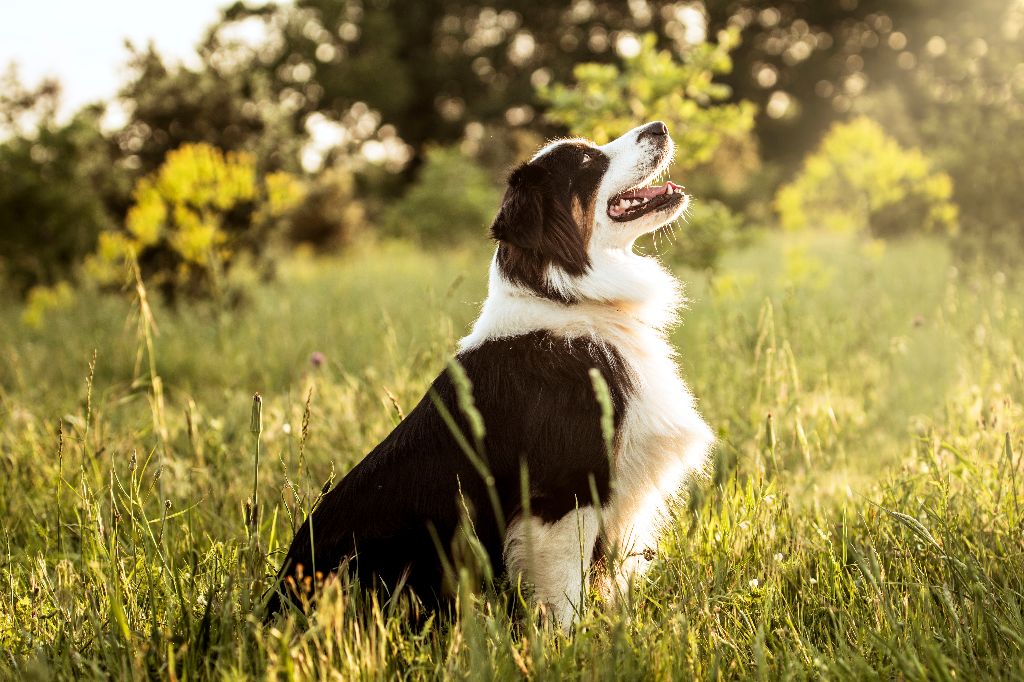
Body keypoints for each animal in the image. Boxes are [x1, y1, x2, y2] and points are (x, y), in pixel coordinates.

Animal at [268, 119, 716, 622]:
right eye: (587, 161)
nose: (660, 125)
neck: (567, 299)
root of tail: (274, 604)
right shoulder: (563, 496)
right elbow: (565, 600)